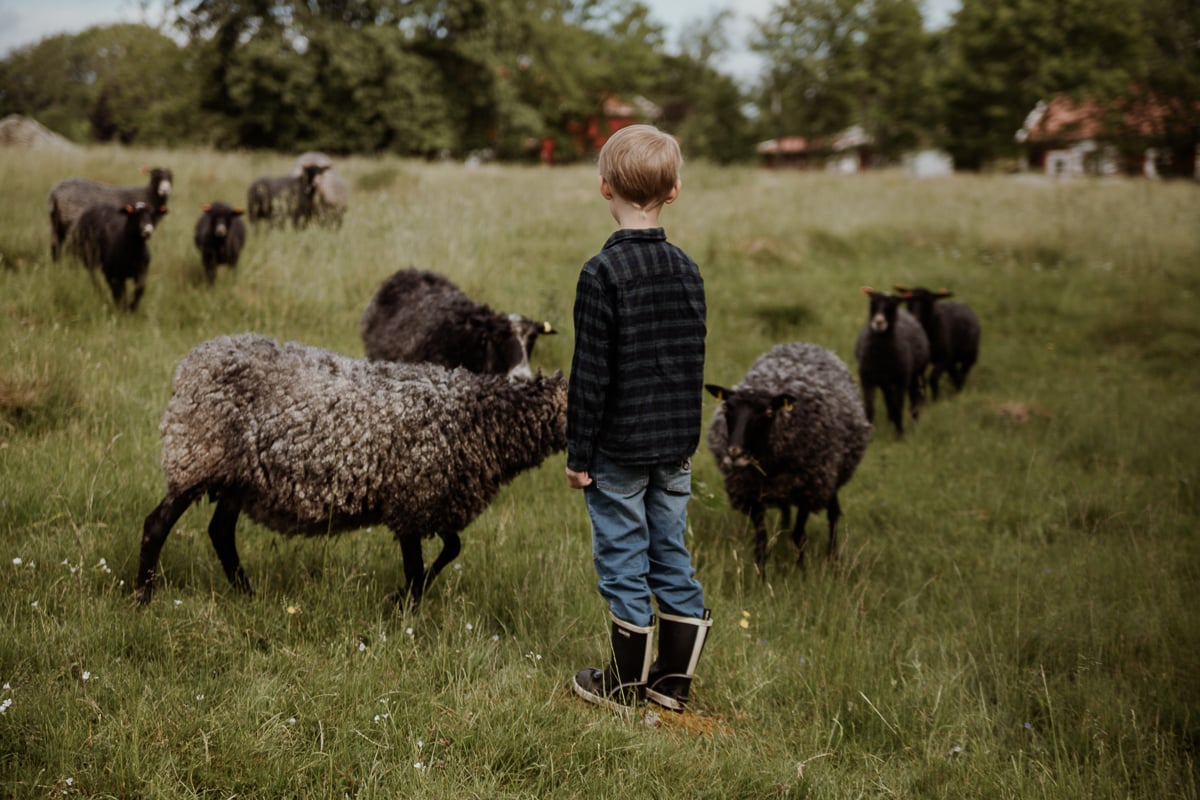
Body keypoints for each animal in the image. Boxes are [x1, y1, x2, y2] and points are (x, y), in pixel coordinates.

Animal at [134, 333, 568, 607]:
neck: (481, 418)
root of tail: (191, 363)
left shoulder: (432, 503)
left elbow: (450, 549)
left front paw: (403, 600)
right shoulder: (411, 503)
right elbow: (418, 567)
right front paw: (402, 609)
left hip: (238, 475)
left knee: (221, 533)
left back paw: (247, 595)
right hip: (197, 455)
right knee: (156, 526)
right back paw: (142, 599)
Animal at [705, 341, 871, 577]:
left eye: (768, 413)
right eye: (727, 407)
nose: (735, 453)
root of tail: (805, 344)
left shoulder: (808, 492)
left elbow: (799, 536)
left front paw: (801, 571)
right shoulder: (752, 495)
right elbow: (762, 540)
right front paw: (760, 576)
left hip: (829, 477)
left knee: (833, 515)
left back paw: (832, 557)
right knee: (786, 512)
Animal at [853, 287, 930, 435]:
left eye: (892, 305)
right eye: (873, 302)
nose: (879, 322)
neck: (881, 355)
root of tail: (905, 313)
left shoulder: (901, 380)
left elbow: (898, 407)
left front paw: (899, 434)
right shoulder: (867, 379)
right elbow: (869, 408)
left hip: (915, 374)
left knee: (913, 400)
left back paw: (914, 424)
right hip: (886, 382)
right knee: (888, 400)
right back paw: (890, 422)